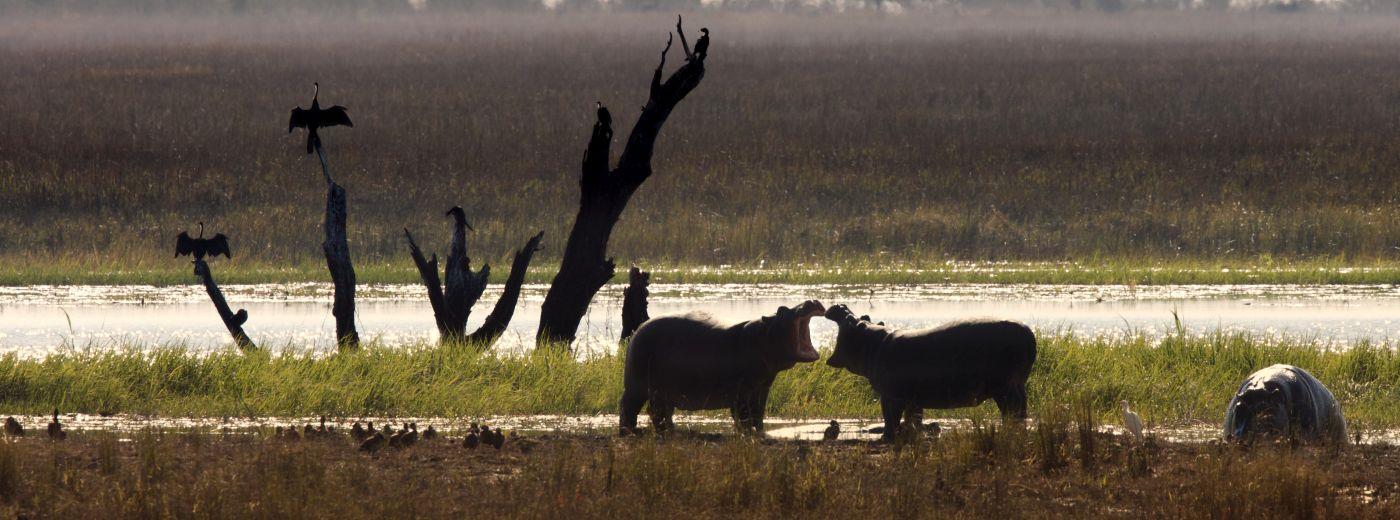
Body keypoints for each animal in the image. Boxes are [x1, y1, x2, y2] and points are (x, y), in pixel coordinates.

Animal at [618, 299, 823, 437]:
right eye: (782, 309)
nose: (810, 301)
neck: (763, 335)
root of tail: (638, 330)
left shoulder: (763, 387)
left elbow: (759, 413)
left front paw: (761, 434)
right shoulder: (742, 390)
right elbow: (744, 414)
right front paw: (747, 434)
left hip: (663, 391)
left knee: (658, 412)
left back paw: (670, 431)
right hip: (637, 386)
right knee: (630, 407)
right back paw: (630, 432)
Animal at [817, 304, 1041, 442]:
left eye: (852, 319)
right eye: (864, 316)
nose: (841, 306)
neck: (872, 343)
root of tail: (1028, 333)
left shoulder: (890, 396)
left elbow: (890, 417)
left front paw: (886, 438)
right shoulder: (913, 397)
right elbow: (913, 418)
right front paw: (911, 435)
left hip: (1005, 388)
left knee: (1011, 411)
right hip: (1017, 386)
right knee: (1020, 410)